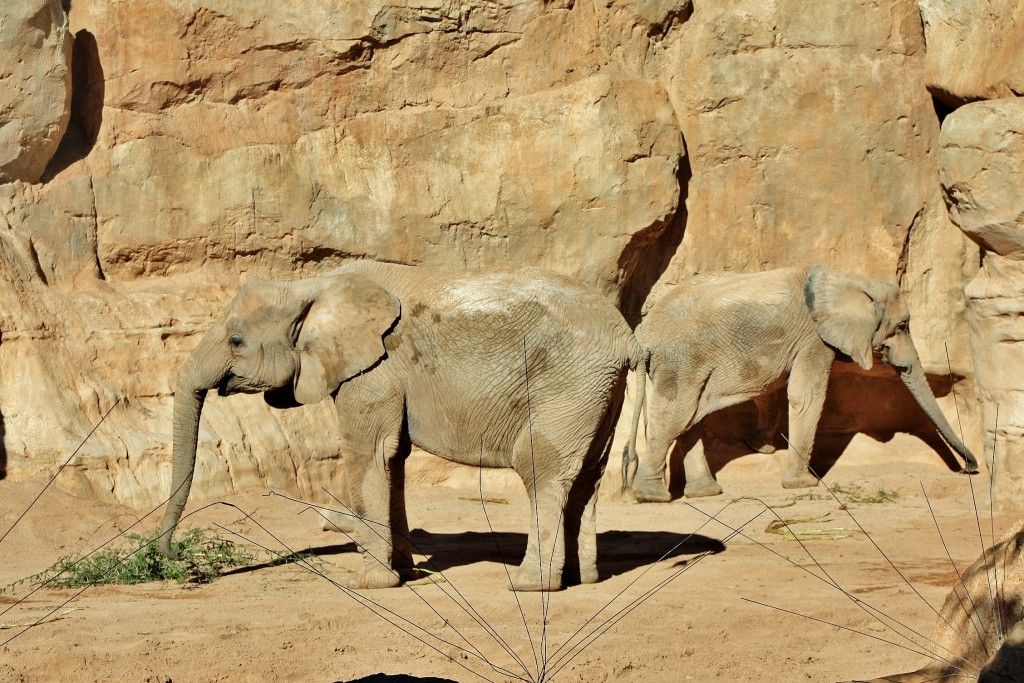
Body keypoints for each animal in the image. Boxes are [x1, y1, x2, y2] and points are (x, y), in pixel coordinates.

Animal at [158, 259, 638, 589]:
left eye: (236, 341)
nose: (171, 559)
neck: (312, 286)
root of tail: (627, 337)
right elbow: (395, 459)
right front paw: (405, 573)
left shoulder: (374, 369)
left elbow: (367, 453)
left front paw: (370, 584)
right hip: (599, 389)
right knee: (588, 475)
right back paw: (582, 579)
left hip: (568, 381)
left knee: (540, 466)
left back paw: (529, 585)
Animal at [618, 262, 978, 501]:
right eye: (902, 326)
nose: (970, 468)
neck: (847, 279)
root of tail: (643, 334)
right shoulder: (813, 338)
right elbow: (807, 395)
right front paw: (804, 485)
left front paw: (765, 450)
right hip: (681, 360)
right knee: (676, 416)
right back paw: (653, 496)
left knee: (689, 419)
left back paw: (705, 493)